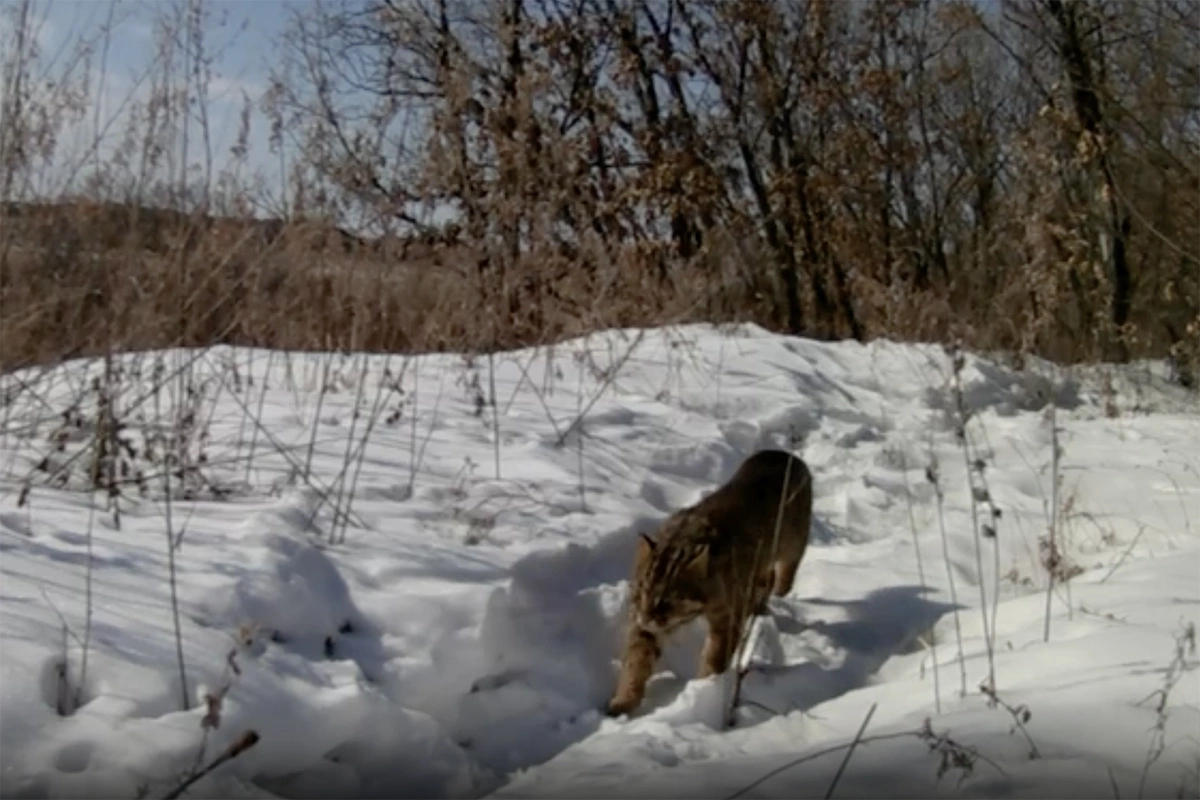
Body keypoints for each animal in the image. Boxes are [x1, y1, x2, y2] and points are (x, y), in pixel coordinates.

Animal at [604, 450, 811, 719]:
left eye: (666, 601)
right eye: (639, 594)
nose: (647, 617)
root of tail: (782, 452)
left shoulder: (726, 617)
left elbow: (715, 656)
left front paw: (704, 687)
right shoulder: (643, 623)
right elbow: (636, 659)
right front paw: (624, 700)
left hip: (793, 539)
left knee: (787, 566)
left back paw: (780, 589)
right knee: (764, 580)